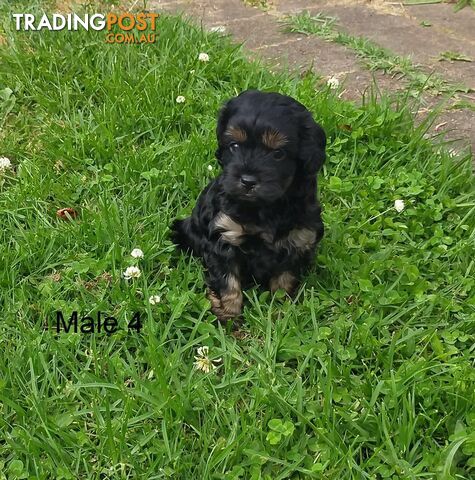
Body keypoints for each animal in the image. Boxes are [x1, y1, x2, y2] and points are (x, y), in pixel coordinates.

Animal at [172, 90, 328, 322]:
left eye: (278, 153)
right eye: (234, 146)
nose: (247, 180)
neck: (266, 208)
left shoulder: (298, 239)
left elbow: (285, 278)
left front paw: (280, 309)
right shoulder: (224, 236)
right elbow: (227, 280)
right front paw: (228, 314)